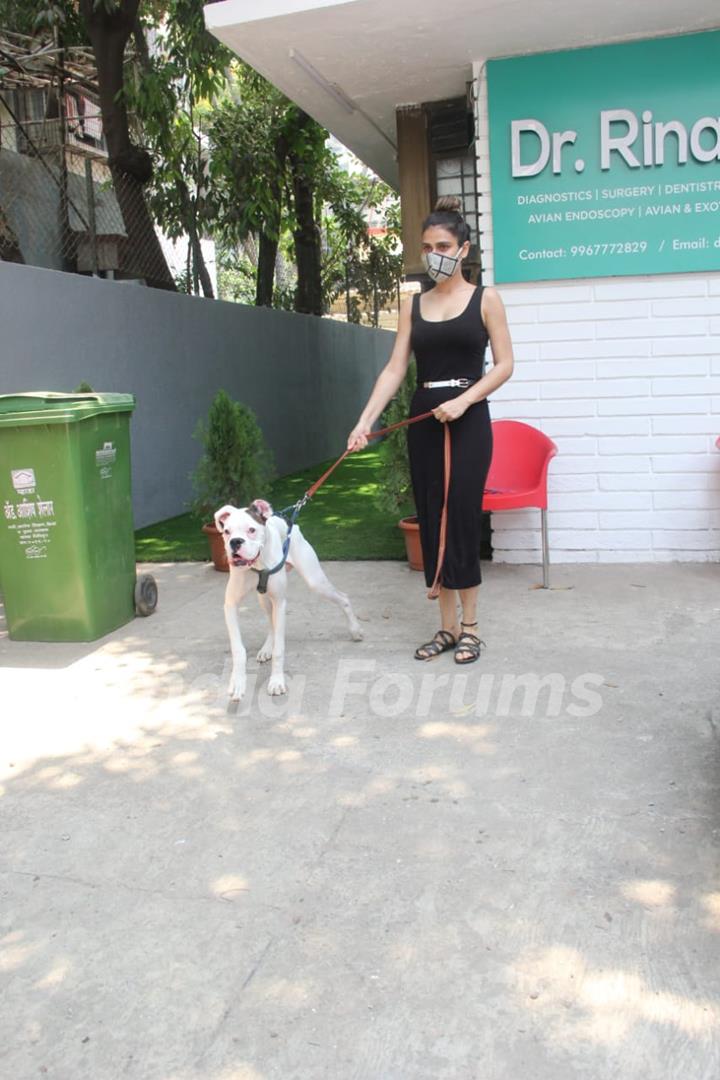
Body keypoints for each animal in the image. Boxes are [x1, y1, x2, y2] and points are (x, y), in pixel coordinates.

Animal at [212, 498, 360, 699]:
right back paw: (266, 648)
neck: (259, 564)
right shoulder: (231, 605)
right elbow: (238, 649)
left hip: (315, 581)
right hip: (264, 598)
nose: (235, 542)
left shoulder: (280, 603)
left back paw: (355, 629)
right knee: (271, 624)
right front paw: (238, 682)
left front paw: (276, 682)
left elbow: (279, 650)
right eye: (227, 532)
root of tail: (289, 521)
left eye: (251, 529)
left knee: (343, 598)